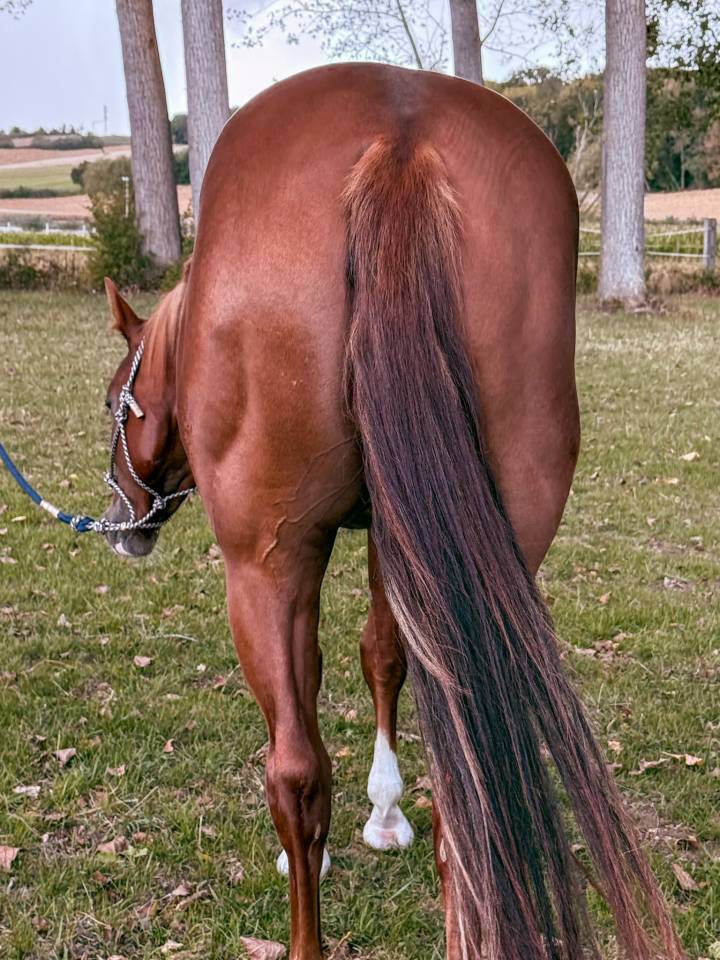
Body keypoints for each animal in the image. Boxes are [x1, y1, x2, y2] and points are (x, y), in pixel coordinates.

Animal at [100, 63, 683, 960]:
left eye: (113, 404)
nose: (122, 517)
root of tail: (399, 141)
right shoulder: (395, 534)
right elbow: (384, 654)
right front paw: (386, 813)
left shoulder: (284, 561)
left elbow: (312, 705)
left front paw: (337, 839)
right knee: (466, 782)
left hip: (265, 565)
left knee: (296, 771)